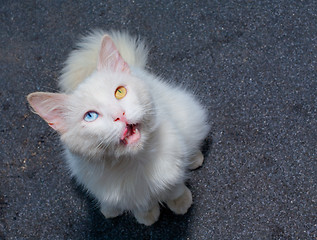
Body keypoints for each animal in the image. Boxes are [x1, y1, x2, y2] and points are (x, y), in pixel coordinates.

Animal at [27, 30, 209, 225]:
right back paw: (110, 211)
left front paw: (181, 203)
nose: (119, 115)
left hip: (188, 114)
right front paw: (147, 217)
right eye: (90, 116)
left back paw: (194, 159)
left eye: (120, 92)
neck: (135, 163)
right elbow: (142, 204)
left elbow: (174, 187)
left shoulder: (173, 167)